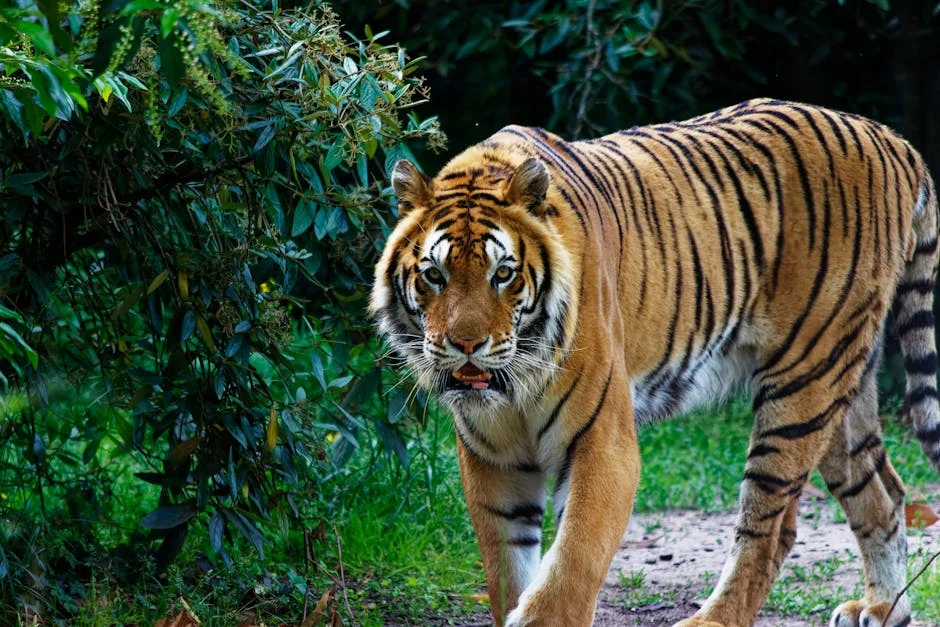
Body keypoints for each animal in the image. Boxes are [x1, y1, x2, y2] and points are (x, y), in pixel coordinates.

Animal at [370, 98, 940, 627]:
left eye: (503, 274)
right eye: (435, 275)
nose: (466, 345)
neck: (513, 388)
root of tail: (892, 139)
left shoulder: (603, 443)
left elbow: (571, 565)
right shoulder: (493, 458)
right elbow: (507, 569)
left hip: (803, 383)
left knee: (774, 525)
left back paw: (713, 619)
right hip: (842, 382)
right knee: (883, 492)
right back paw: (883, 606)